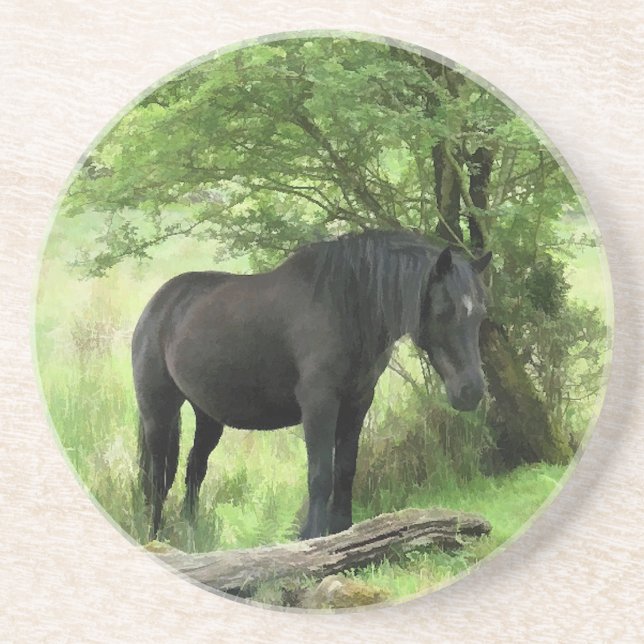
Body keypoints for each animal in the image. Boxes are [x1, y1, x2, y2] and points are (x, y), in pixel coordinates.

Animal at [132, 230, 492, 540]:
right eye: (444, 310)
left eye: (480, 314)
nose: (471, 391)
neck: (346, 307)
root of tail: (157, 305)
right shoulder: (319, 403)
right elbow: (320, 475)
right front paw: (312, 536)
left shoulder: (358, 402)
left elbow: (345, 470)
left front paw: (343, 530)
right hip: (158, 413)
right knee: (157, 479)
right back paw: (156, 538)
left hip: (208, 416)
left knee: (194, 471)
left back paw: (192, 536)